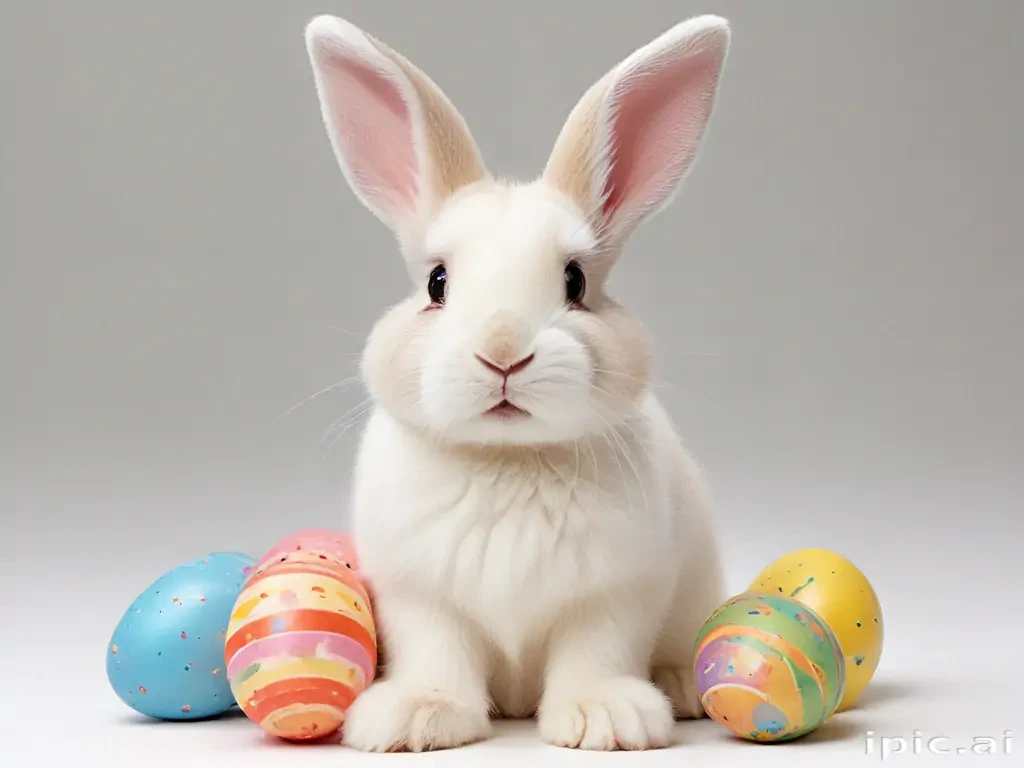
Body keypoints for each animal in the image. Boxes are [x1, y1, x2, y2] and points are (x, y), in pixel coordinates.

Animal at [303, 12, 732, 752]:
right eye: (436, 283)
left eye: (575, 282)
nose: (503, 352)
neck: (508, 460)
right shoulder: (419, 596)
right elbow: (437, 651)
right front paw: (417, 717)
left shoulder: (616, 593)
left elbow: (597, 650)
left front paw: (605, 718)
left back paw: (678, 686)